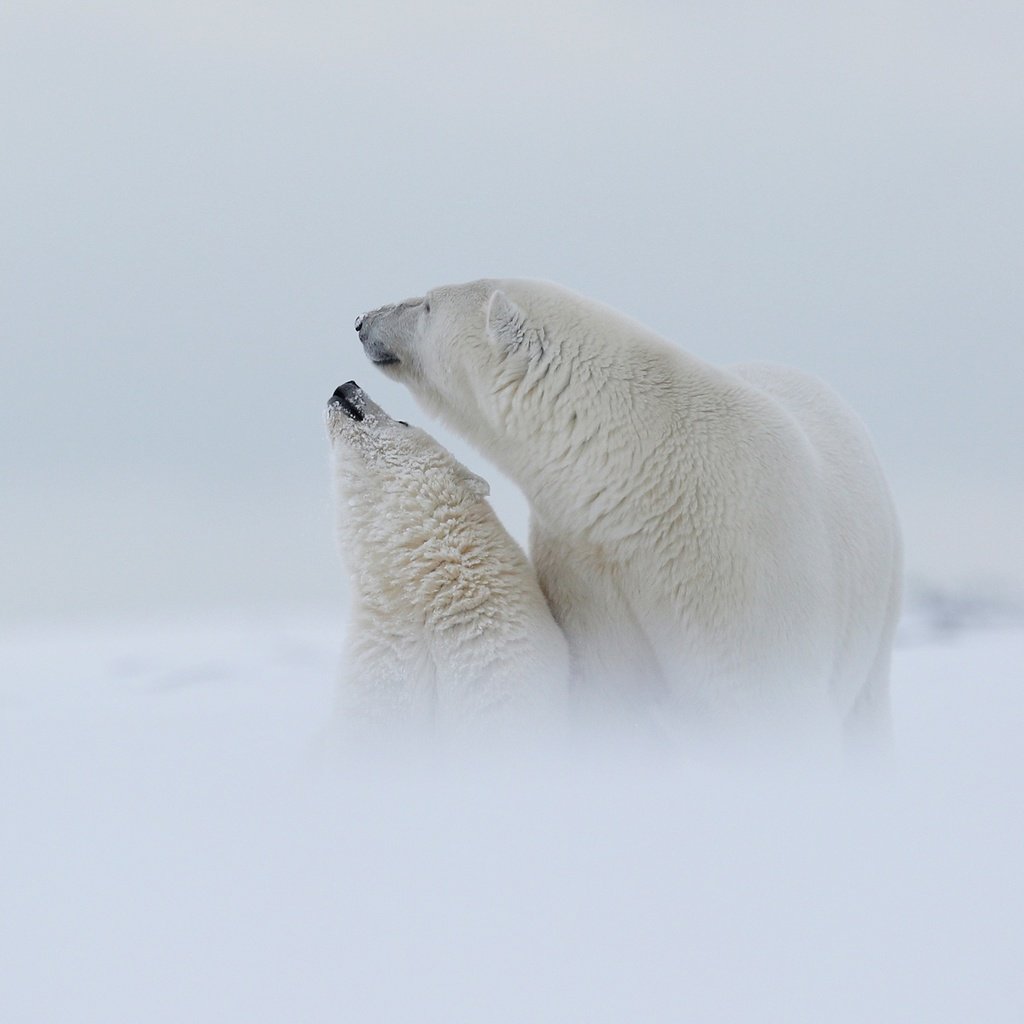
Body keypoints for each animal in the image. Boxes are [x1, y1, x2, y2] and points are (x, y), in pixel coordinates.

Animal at [356, 278, 901, 745]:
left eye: (428, 304)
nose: (362, 319)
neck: (641, 483)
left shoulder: (744, 562)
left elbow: (763, 697)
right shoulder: (588, 566)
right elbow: (614, 693)